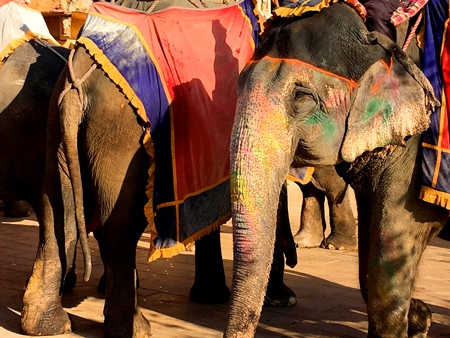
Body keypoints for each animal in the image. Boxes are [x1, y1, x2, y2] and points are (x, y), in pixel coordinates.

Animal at [223, 3, 442, 338]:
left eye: (301, 97)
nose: (293, 260)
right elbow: (368, 267)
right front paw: (420, 318)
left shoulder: (417, 146)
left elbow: (392, 244)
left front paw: (415, 320)